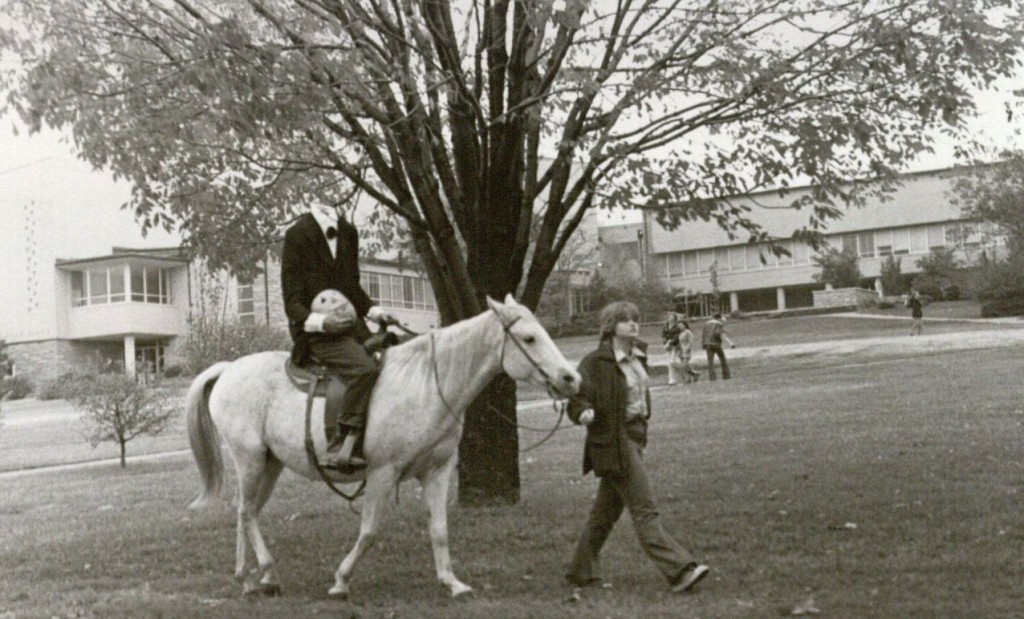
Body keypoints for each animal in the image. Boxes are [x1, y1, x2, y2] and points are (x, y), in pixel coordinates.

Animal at [187, 295, 581, 598]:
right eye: (529, 338)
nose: (571, 379)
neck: (427, 383)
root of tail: (228, 369)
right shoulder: (382, 472)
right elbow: (370, 531)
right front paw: (341, 581)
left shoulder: (436, 471)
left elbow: (439, 530)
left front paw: (452, 583)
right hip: (249, 459)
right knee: (244, 511)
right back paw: (255, 576)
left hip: (271, 463)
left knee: (248, 510)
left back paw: (257, 578)